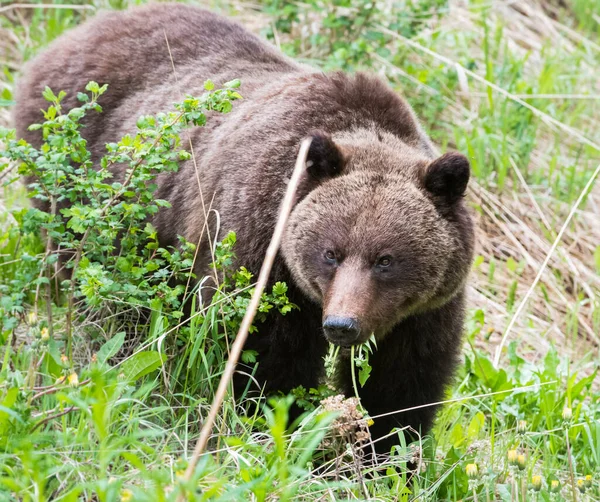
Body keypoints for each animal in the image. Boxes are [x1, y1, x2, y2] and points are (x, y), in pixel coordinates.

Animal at [15, 3, 474, 456]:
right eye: (331, 252)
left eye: (386, 260)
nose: (342, 325)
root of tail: (70, 36)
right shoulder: (257, 247)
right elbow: (262, 353)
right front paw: (275, 425)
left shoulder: (423, 309)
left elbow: (402, 380)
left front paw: (389, 450)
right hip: (86, 185)